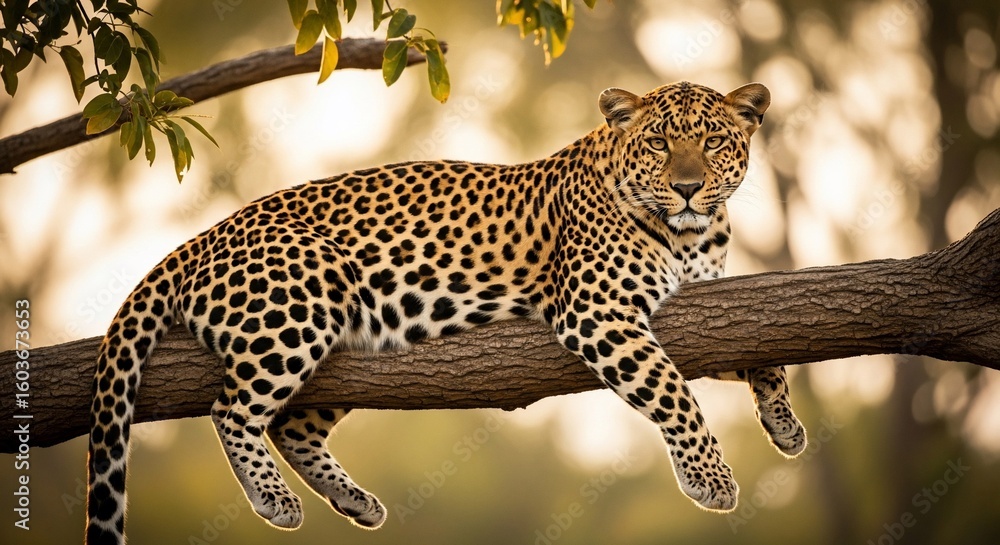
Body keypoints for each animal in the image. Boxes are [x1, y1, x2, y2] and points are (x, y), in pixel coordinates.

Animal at [85, 80, 807, 545]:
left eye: (713, 143)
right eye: (658, 144)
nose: (687, 187)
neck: (692, 234)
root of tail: (199, 238)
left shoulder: (703, 308)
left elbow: (758, 354)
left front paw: (785, 425)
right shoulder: (599, 310)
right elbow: (673, 393)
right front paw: (712, 479)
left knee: (291, 425)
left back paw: (354, 500)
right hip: (305, 298)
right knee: (231, 410)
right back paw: (274, 499)